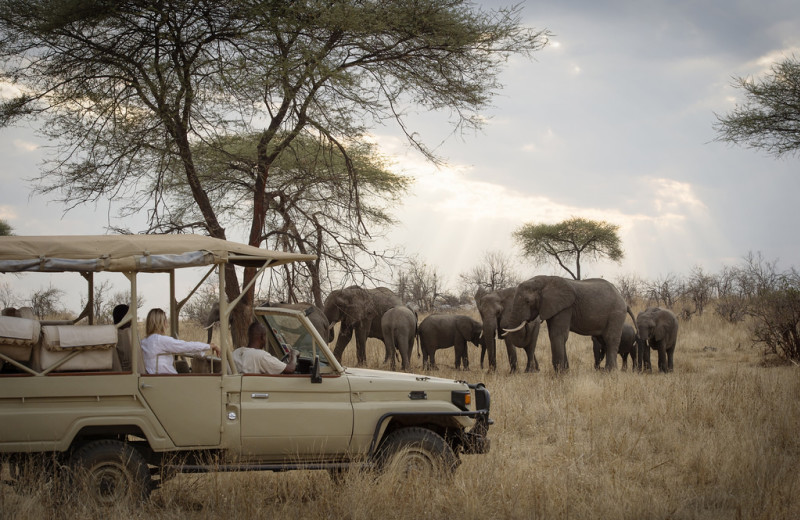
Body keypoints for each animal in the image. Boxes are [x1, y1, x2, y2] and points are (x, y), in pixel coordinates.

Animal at [506, 276, 636, 372]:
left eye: (528, 301)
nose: (528, 322)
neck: (544, 280)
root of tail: (624, 301)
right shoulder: (554, 308)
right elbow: (557, 336)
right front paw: (565, 371)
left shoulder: (565, 308)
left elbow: (557, 335)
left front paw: (559, 373)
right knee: (603, 340)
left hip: (616, 314)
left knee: (610, 339)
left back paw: (610, 371)